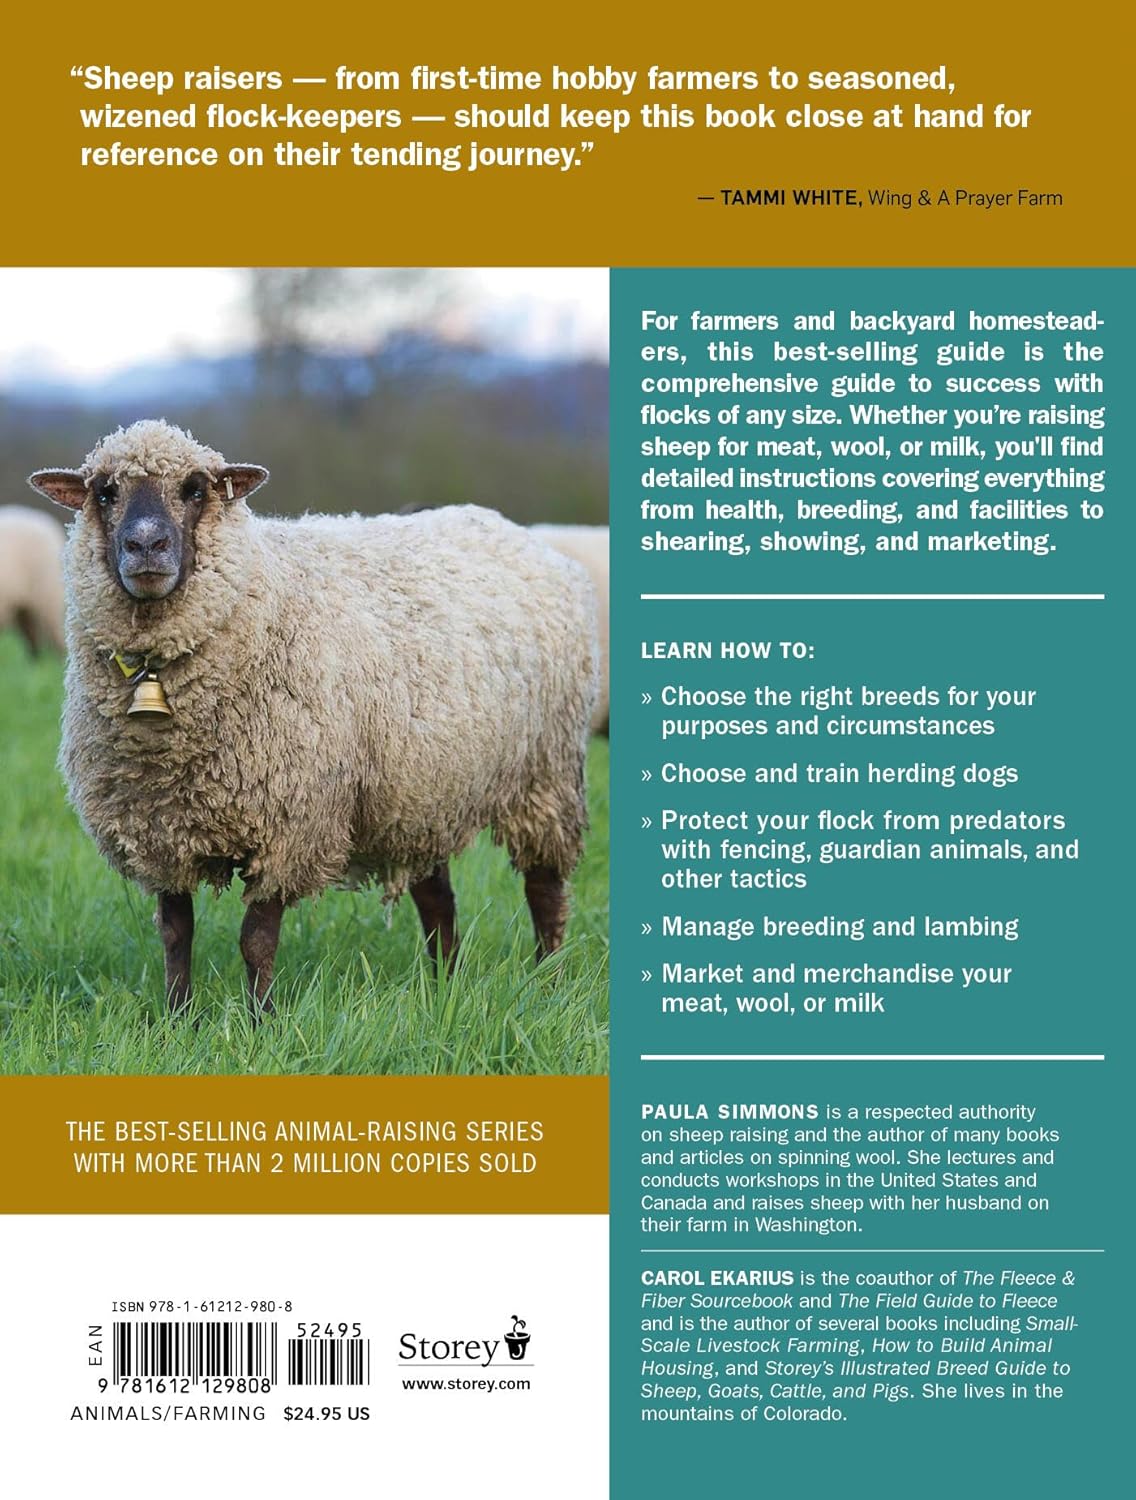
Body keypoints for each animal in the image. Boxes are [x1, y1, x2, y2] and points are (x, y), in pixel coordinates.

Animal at [29, 419, 598, 1015]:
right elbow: (175, 932)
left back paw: (549, 979)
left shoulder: (290, 822)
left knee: (545, 889)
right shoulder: (160, 827)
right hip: (423, 789)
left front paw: (259, 1021)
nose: (146, 545)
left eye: (196, 489)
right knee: (437, 898)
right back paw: (445, 986)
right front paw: (177, 1017)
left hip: (545, 775)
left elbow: (256, 940)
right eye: (104, 492)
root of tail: (510, 528)